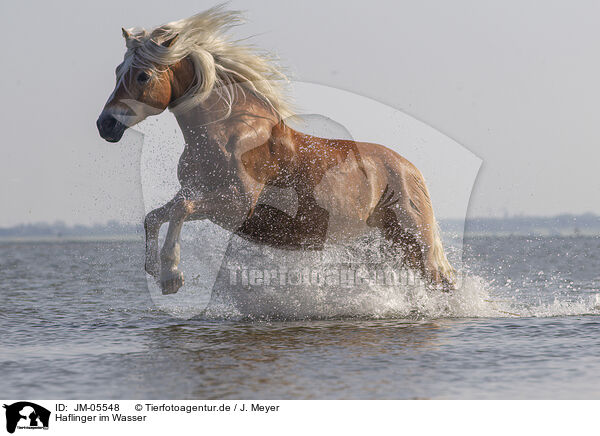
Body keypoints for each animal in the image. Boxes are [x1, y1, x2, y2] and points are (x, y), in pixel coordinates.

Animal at [97, 5, 454, 292]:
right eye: (117, 72)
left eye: (143, 76)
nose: (105, 125)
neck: (226, 135)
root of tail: (410, 169)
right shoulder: (194, 190)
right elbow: (155, 215)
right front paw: (154, 269)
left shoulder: (235, 204)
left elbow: (180, 210)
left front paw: (171, 276)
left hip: (413, 240)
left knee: (440, 281)